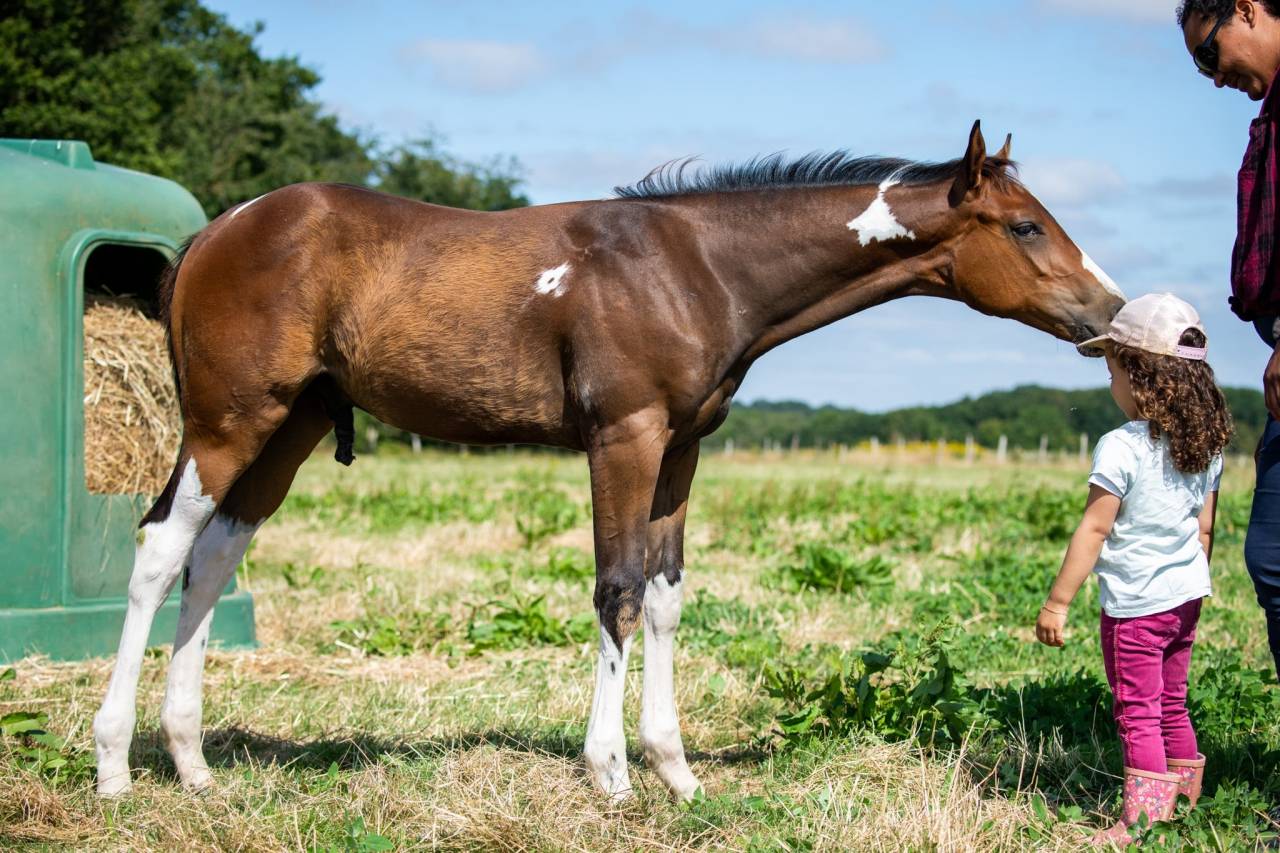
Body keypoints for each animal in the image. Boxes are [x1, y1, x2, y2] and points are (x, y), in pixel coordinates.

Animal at [93, 121, 1126, 801]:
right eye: (1026, 227)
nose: (1109, 311)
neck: (696, 266)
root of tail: (217, 229)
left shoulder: (681, 448)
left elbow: (665, 595)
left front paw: (677, 770)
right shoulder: (622, 437)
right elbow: (617, 588)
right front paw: (612, 774)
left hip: (292, 424)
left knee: (213, 555)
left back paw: (193, 764)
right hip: (229, 420)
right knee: (159, 549)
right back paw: (113, 765)